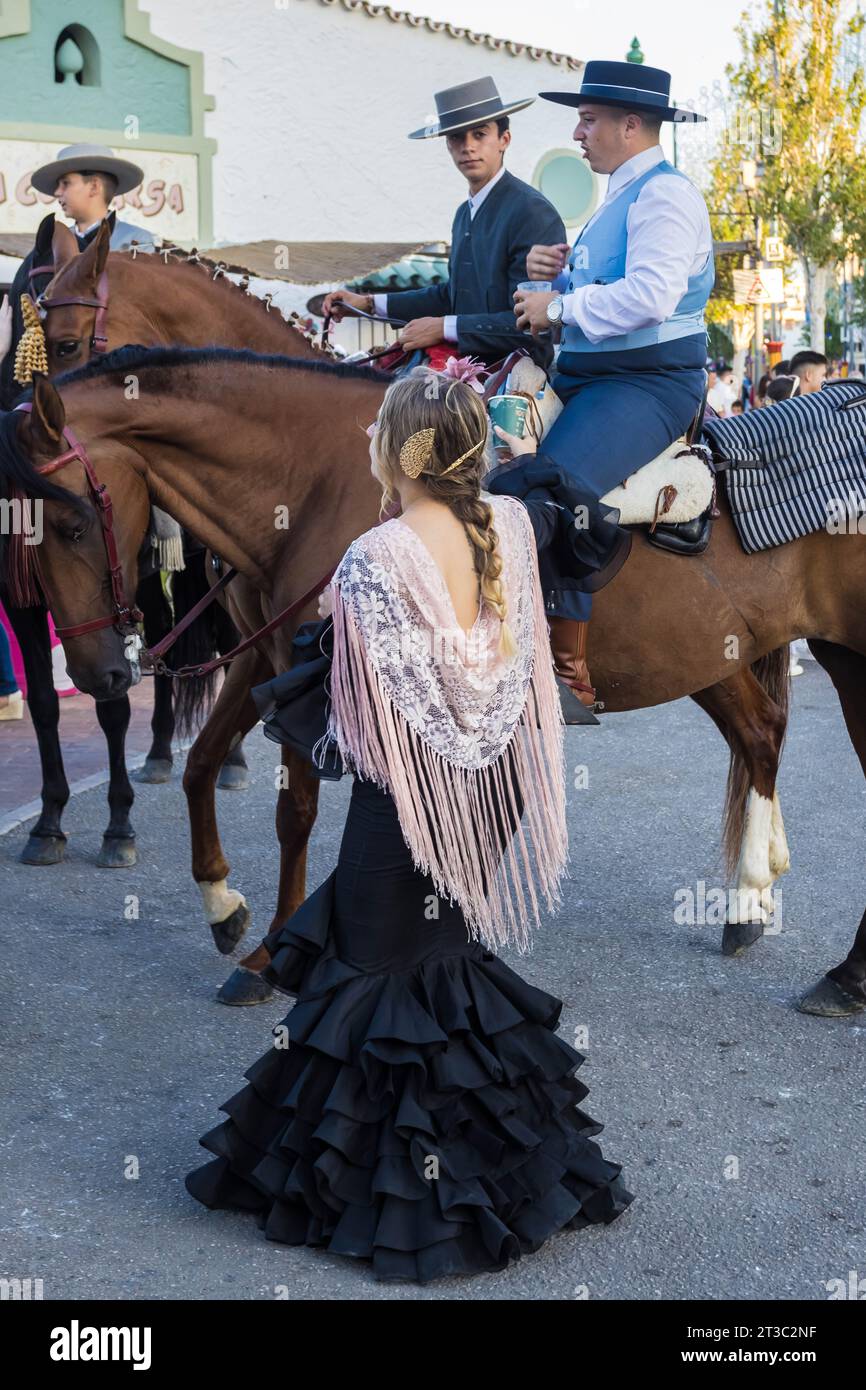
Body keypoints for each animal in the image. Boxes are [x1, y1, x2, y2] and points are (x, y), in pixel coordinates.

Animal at [33, 225, 806, 978]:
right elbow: (203, 764)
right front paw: (226, 908)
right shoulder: (267, 654)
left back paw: (748, 896)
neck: (312, 469)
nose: (95, 671)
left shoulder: (329, 669)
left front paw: (277, 951)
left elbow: (299, 809)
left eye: (64, 342)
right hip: (705, 653)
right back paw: (755, 891)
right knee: (760, 732)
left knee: (759, 734)